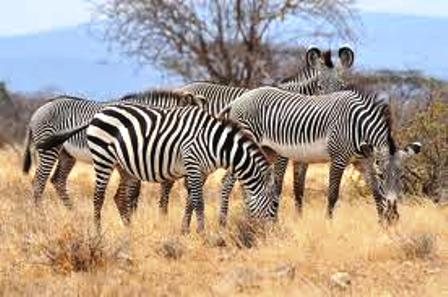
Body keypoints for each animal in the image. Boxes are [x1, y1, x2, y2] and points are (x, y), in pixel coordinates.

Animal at [21, 90, 202, 208]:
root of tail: (39, 110)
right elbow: (133, 193)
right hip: (49, 150)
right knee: (39, 182)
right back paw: (40, 216)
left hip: (67, 154)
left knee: (57, 180)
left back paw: (72, 212)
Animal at [38, 105, 278, 232]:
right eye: (272, 203)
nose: (267, 235)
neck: (216, 144)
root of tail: (99, 113)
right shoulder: (192, 163)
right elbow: (199, 203)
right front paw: (201, 233)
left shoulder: (200, 172)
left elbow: (191, 201)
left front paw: (185, 231)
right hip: (103, 158)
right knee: (99, 196)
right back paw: (98, 231)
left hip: (124, 166)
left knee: (119, 197)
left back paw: (129, 229)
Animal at [219, 86, 422, 224]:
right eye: (382, 175)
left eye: (401, 177)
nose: (394, 216)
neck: (358, 126)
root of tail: (238, 100)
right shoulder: (339, 158)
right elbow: (332, 194)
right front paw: (328, 223)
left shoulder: (364, 160)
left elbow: (376, 193)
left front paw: (382, 224)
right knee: (227, 182)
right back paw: (223, 222)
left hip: (267, 151)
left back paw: (251, 218)